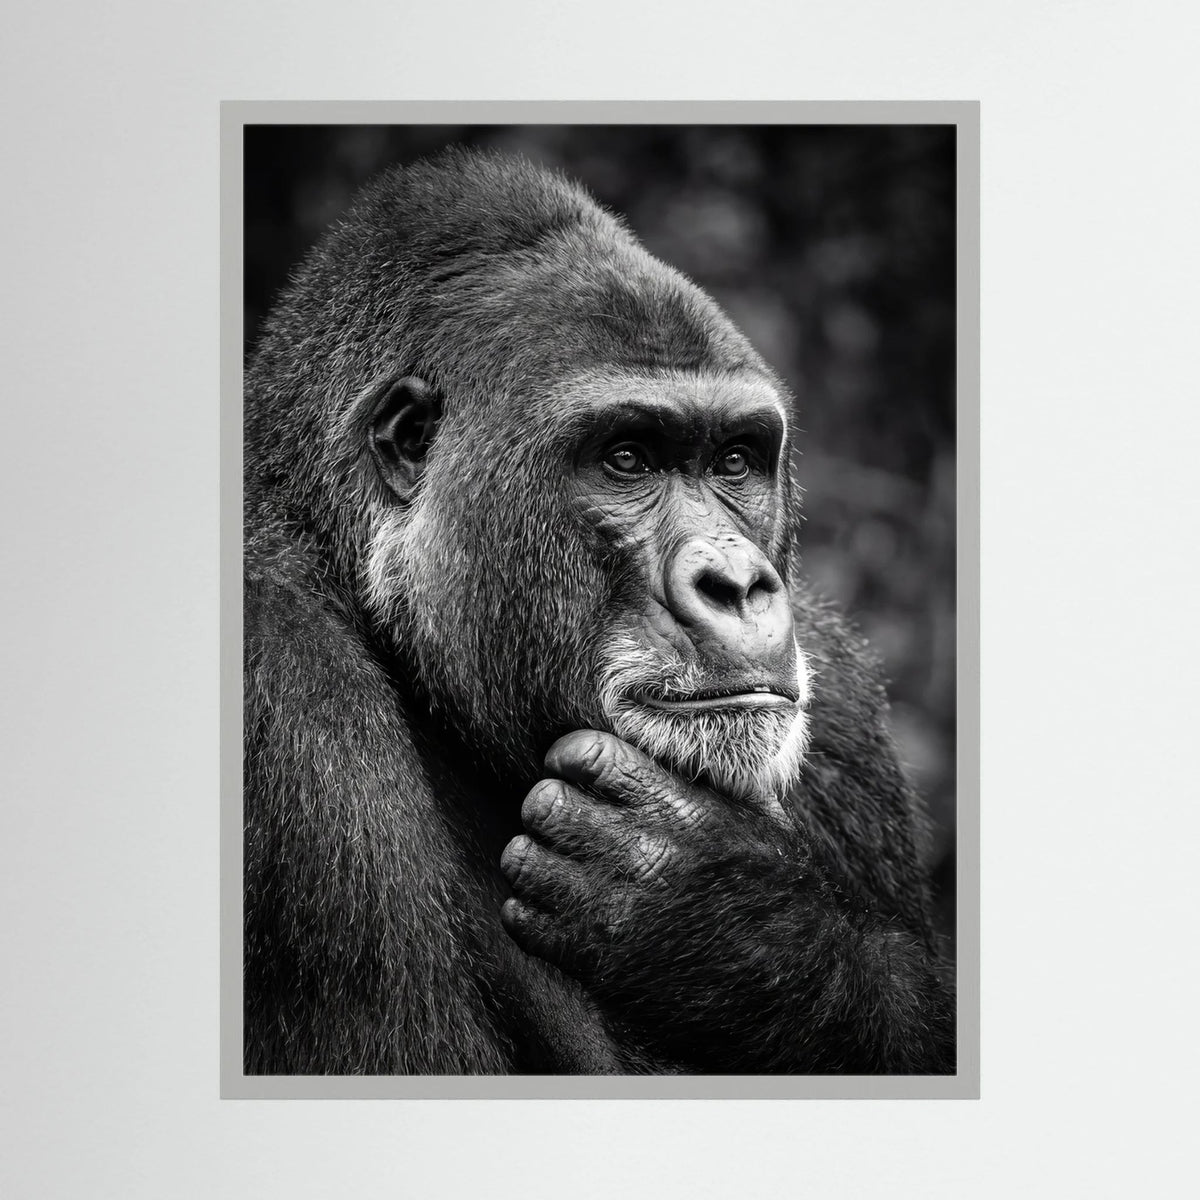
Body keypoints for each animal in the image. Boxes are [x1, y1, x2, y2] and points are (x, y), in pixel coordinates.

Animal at [243, 147, 955, 1074]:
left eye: (735, 460)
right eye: (627, 459)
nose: (738, 583)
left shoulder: (842, 702)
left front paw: (732, 918)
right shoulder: (282, 692)